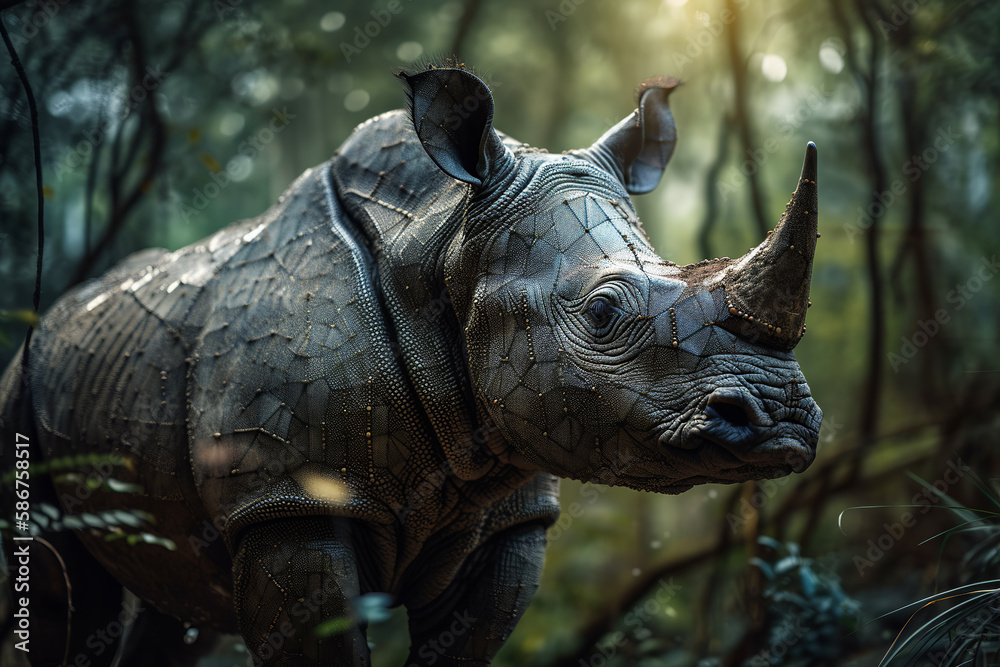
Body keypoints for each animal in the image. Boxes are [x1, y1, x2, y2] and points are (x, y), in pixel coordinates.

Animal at [0, 65, 822, 666]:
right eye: (603, 312)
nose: (779, 419)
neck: (444, 245)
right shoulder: (283, 502)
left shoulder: (506, 512)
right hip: (25, 380)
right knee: (62, 587)